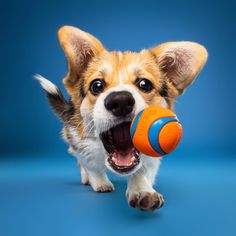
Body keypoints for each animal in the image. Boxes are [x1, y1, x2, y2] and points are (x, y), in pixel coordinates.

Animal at [36, 26, 207, 212]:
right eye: (96, 85)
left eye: (144, 84)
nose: (121, 101)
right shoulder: (80, 144)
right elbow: (91, 166)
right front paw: (100, 182)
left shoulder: (151, 159)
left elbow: (141, 171)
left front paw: (142, 191)